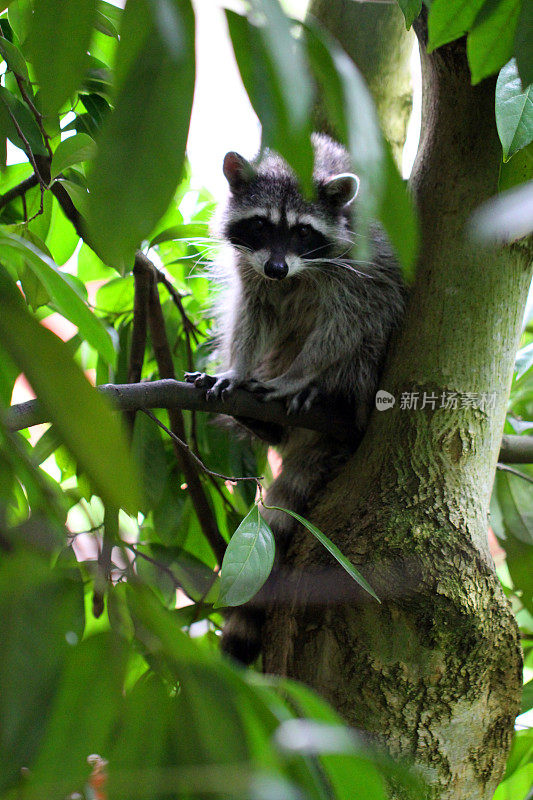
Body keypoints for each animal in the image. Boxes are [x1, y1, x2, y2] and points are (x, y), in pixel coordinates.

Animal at [185, 134, 406, 664]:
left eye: (304, 232)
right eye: (262, 225)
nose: (278, 267)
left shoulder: (361, 262)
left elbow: (349, 321)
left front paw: (301, 376)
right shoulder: (252, 267)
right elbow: (251, 312)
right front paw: (239, 367)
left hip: (373, 352)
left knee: (368, 334)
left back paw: (326, 393)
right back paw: (266, 421)